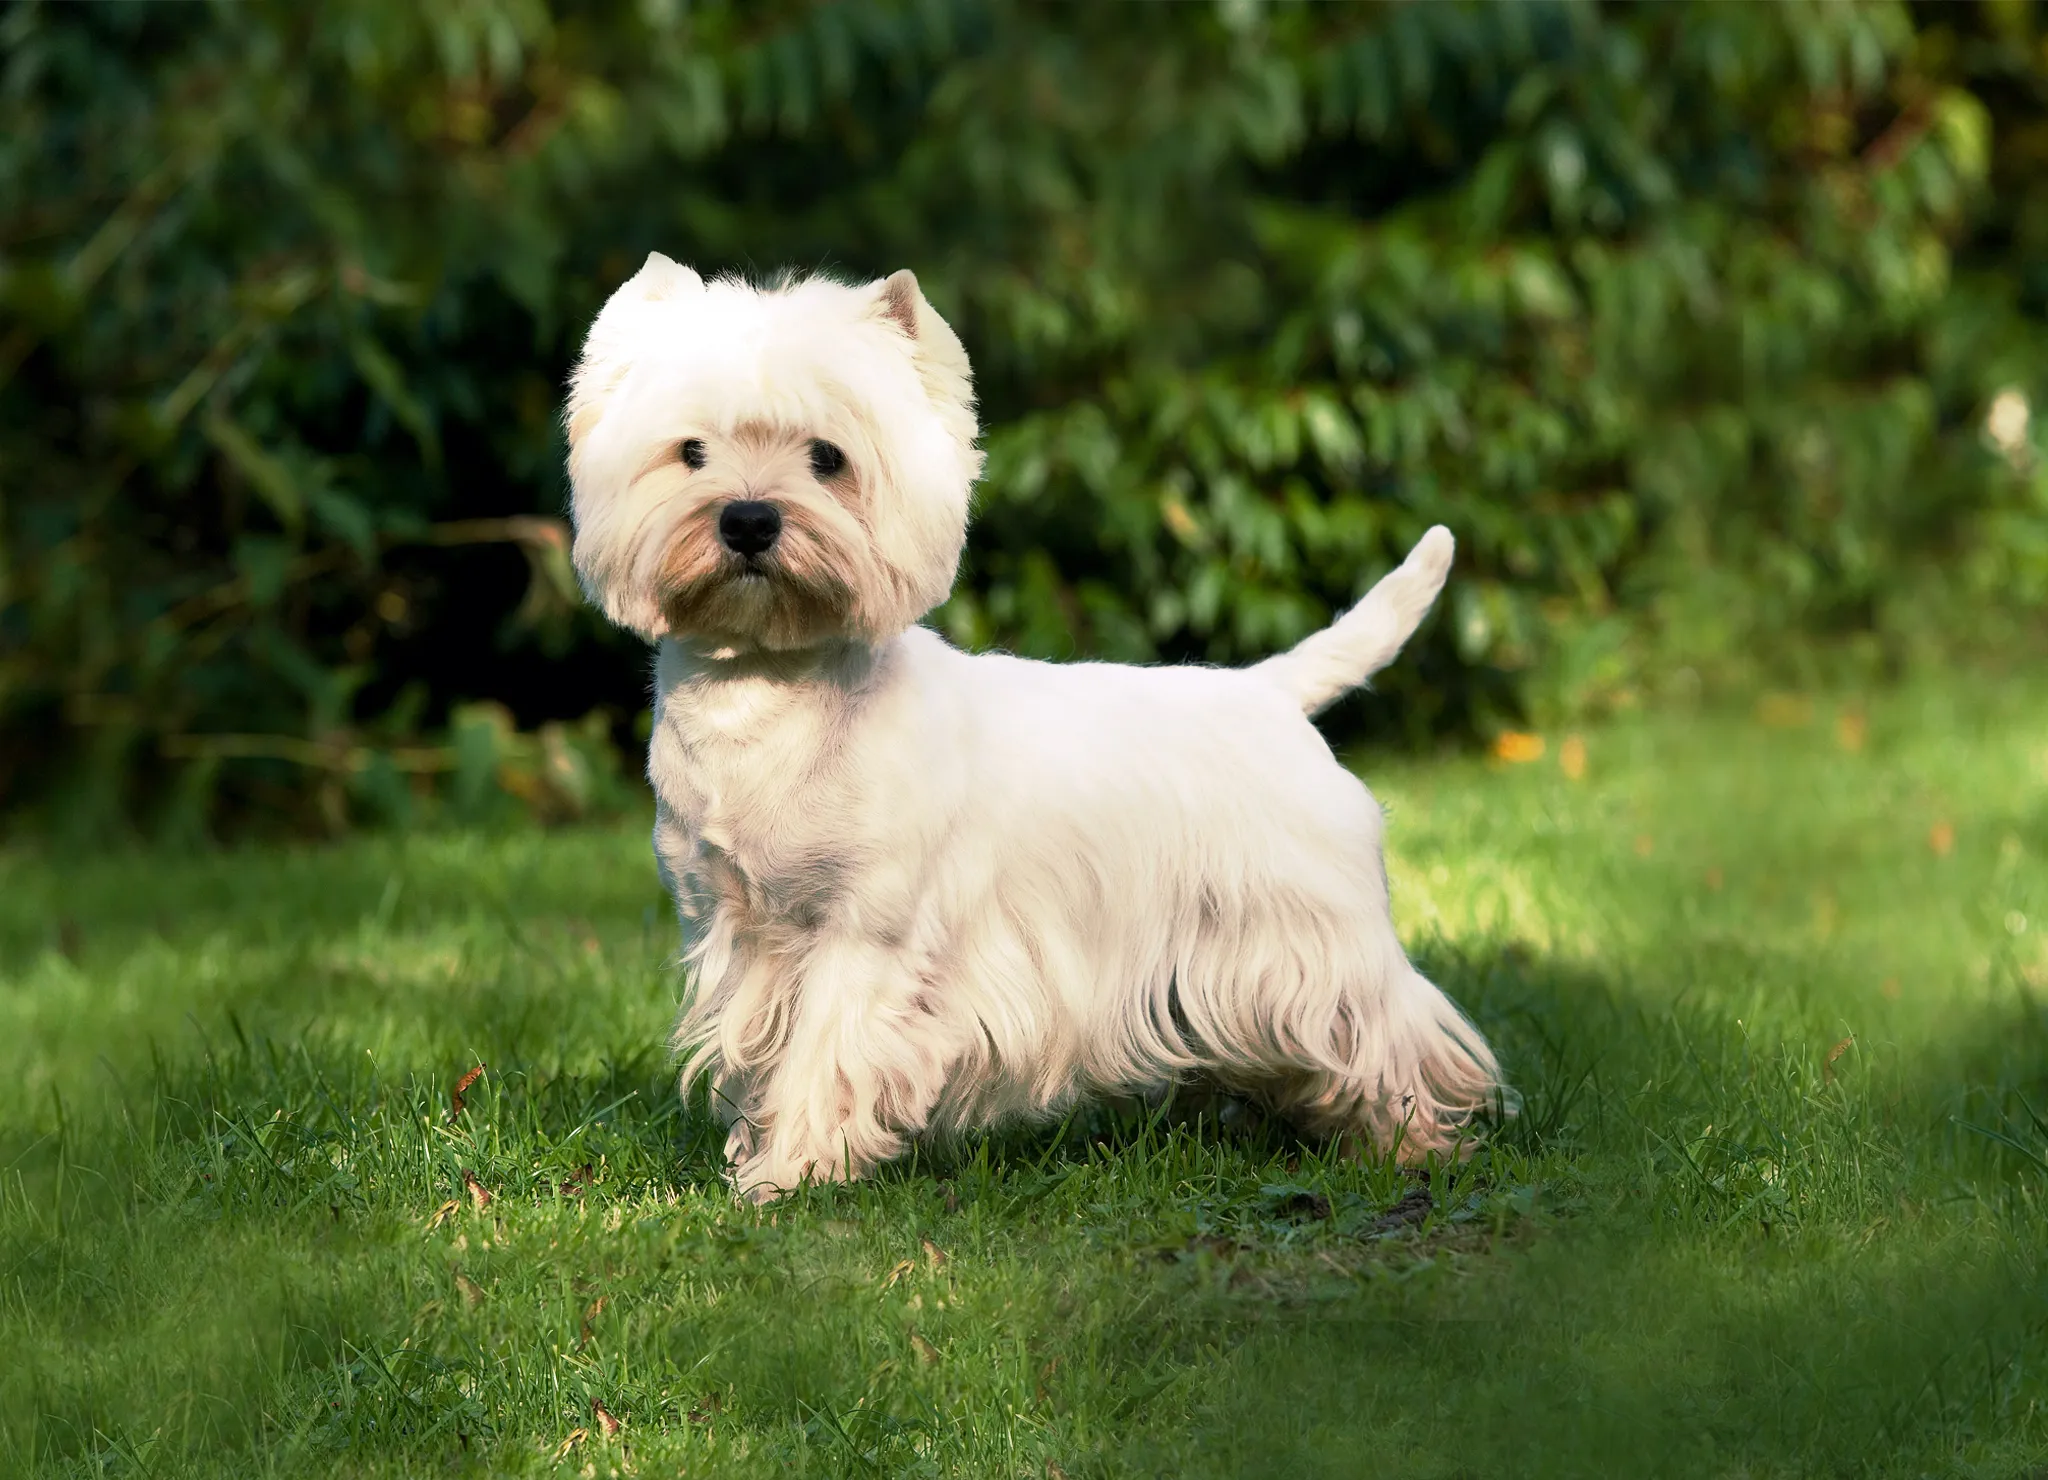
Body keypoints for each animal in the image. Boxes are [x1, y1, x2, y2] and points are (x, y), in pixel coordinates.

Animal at [561, 257, 1507, 1203]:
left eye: (827, 458)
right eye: (691, 453)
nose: (749, 520)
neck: (772, 691)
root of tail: (1270, 690)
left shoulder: (866, 931)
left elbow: (825, 1054)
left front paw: (790, 1174)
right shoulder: (730, 926)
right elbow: (761, 1048)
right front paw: (760, 1152)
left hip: (1314, 932)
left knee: (1390, 1030)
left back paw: (1413, 1144)